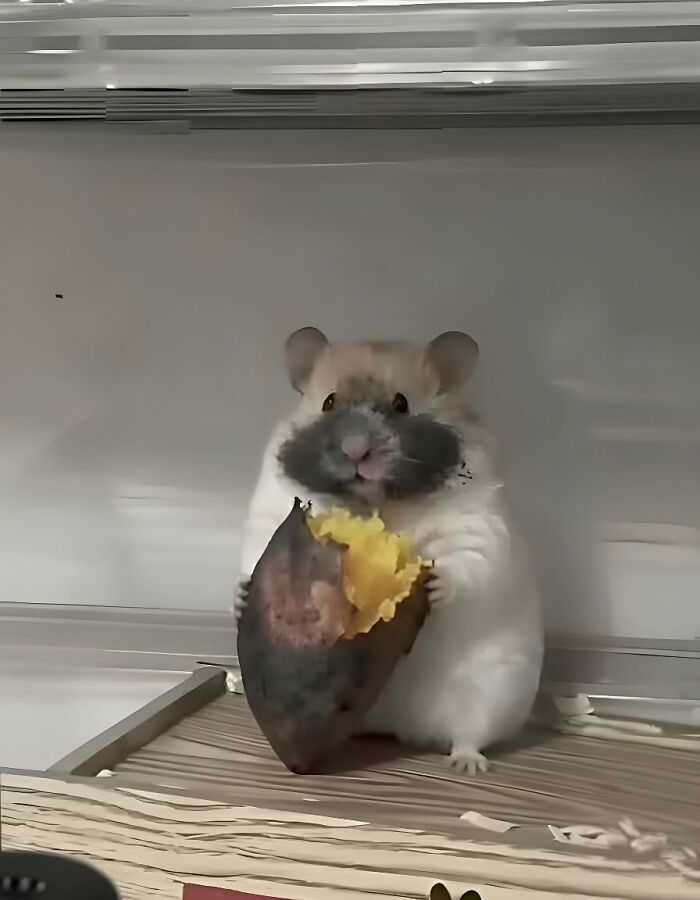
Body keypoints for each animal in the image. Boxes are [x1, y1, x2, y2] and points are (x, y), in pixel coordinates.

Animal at [237, 327, 543, 774]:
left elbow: (464, 566)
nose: (355, 450)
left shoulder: (479, 530)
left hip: (490, 693)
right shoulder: (270, 510)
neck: (379, 504)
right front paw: (242, 596)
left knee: (469, 735)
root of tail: (402, 728)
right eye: (329, 402)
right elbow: (251, 557)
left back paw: (467, 765)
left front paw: (434, 583)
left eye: (401, 404)